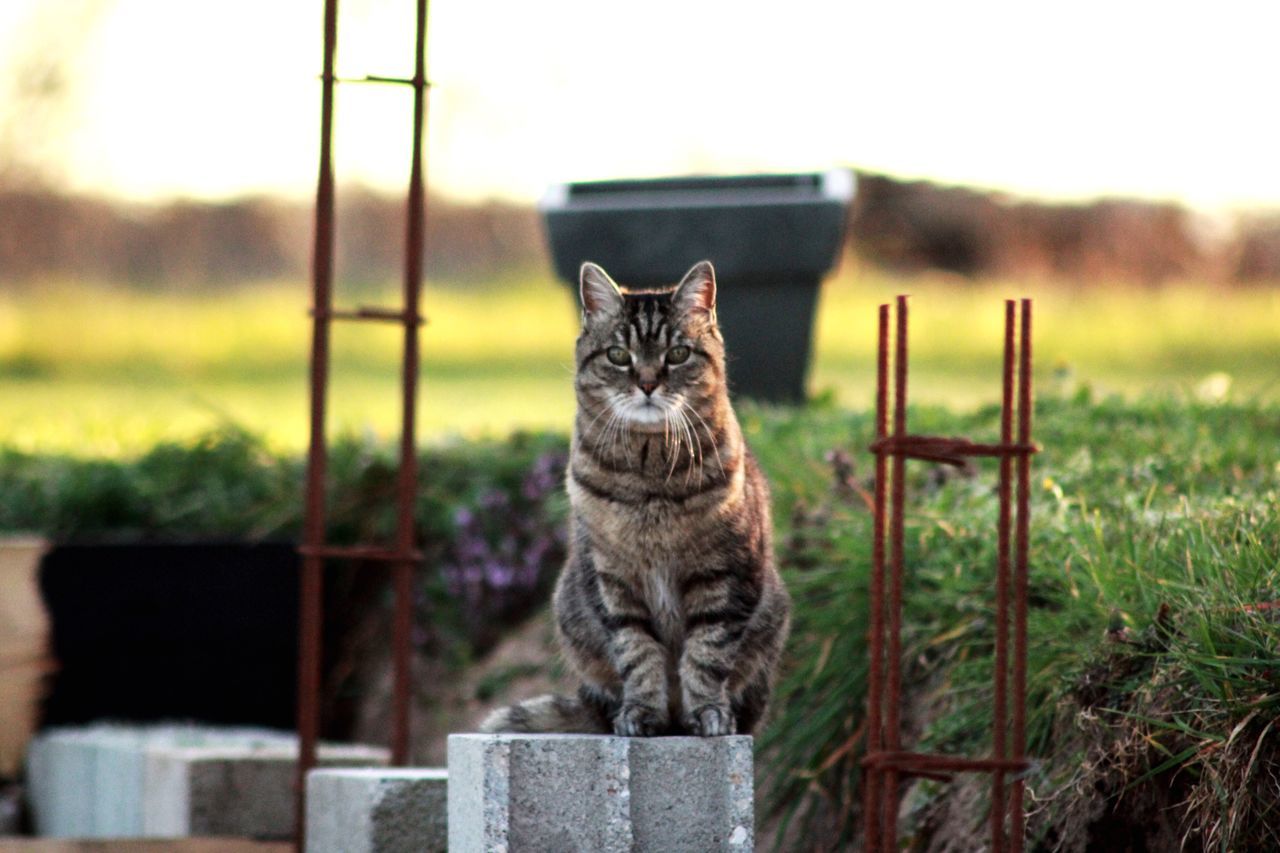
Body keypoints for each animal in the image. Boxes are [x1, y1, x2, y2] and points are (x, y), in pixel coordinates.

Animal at [481, 257, 788, 732]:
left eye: (677, 354)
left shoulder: (725, 573)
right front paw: (641, 712)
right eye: (618, 355)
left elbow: (707, 654)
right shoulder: (613, 579)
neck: (650, 476)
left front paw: (709, 713)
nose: (646, 384)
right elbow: (637, 653)